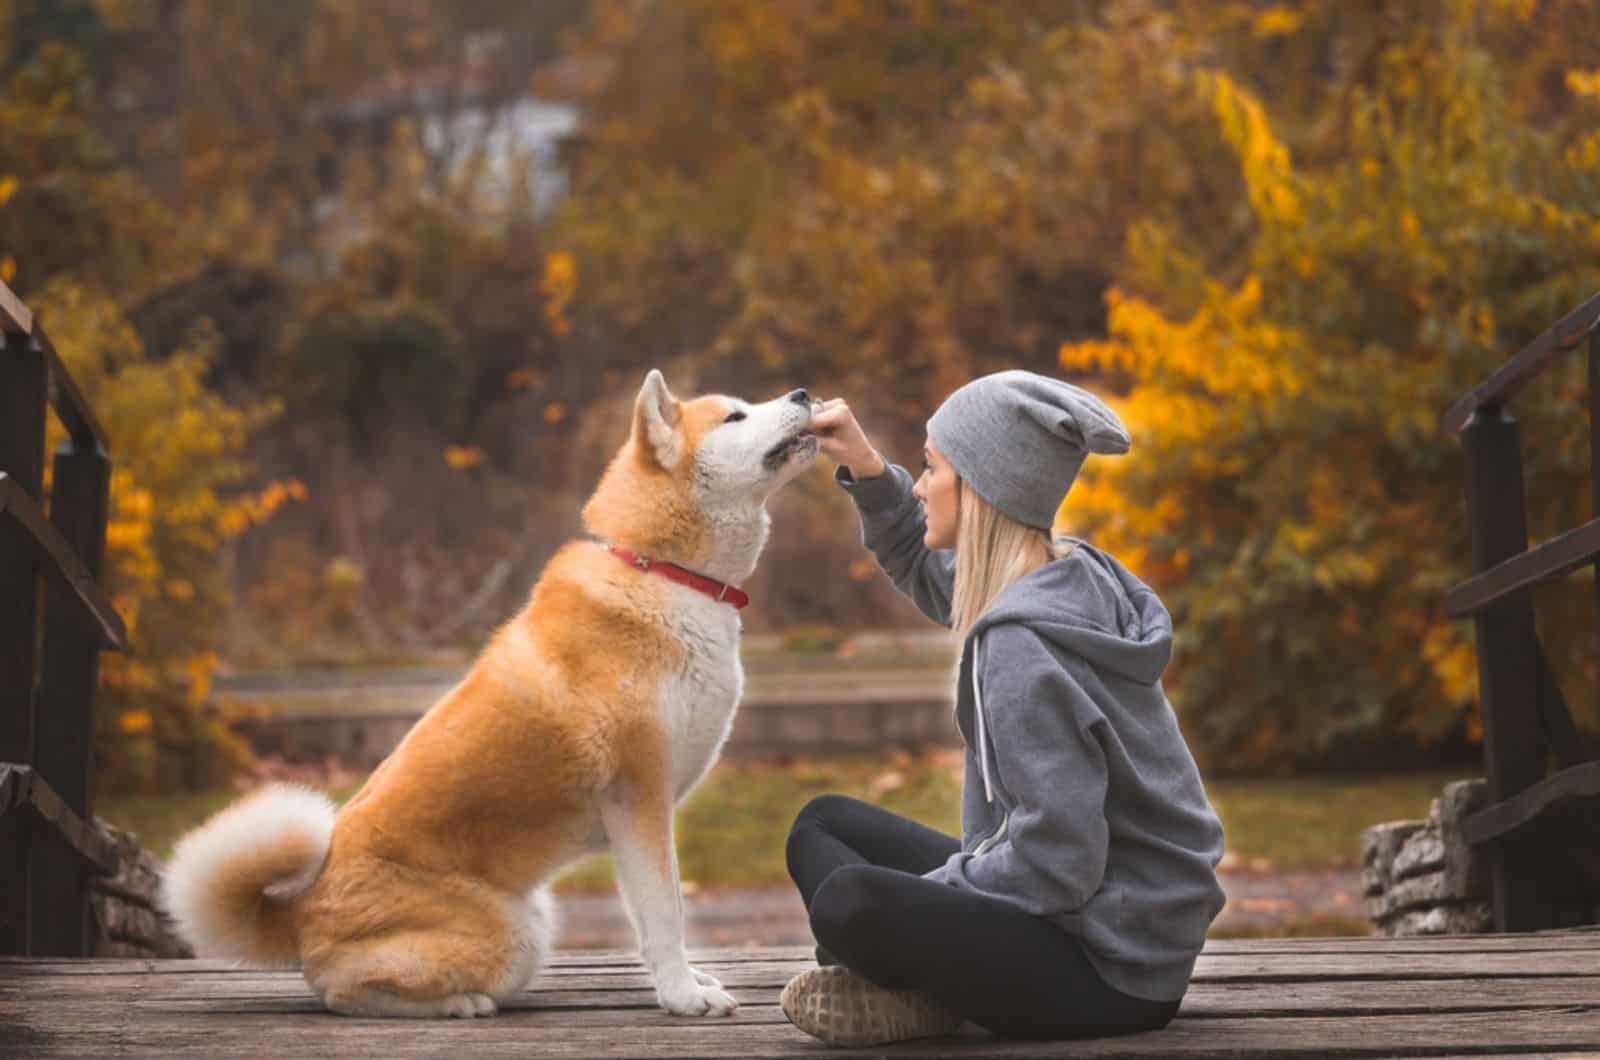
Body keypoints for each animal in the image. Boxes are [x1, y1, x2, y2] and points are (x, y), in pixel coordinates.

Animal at [162, 373, 819, 1024]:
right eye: (734, 416)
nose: (804, 395)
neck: (661, 571)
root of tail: (300, 914)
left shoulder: (639, 814)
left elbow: (652, 917)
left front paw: (682, 983)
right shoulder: (640, 796)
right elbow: (666, 912)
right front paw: (685, 997)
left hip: (535, 918)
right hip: (514, 935)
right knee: (342, 991)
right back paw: (460, 1002)